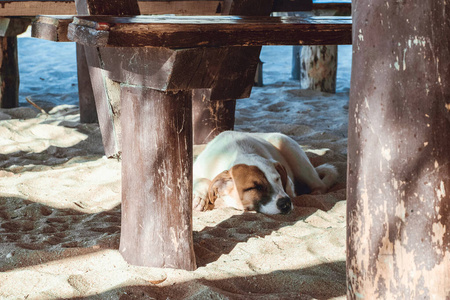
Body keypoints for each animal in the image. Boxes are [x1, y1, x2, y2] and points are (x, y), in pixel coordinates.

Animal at [193, 131, 338, 213]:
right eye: (255, 187)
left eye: (277, 179)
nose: (286, 203)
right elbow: (202, 180)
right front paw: (199, 198)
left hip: (287, 146)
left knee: (320, 185)